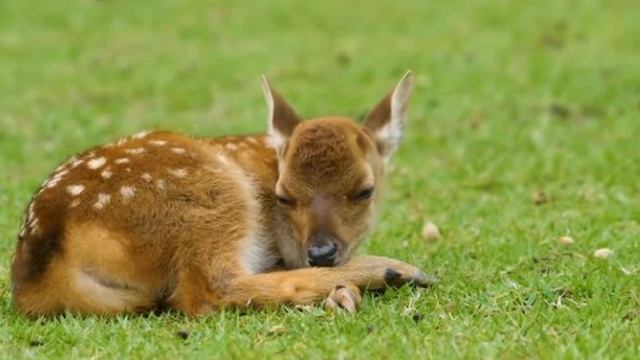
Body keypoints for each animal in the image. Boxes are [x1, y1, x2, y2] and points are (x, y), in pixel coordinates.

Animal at [10, 71, 430, 316]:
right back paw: (393, 270)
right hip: (211, 199)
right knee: (207, 292)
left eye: (364, 191)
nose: (321, 253)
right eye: (283, 196)